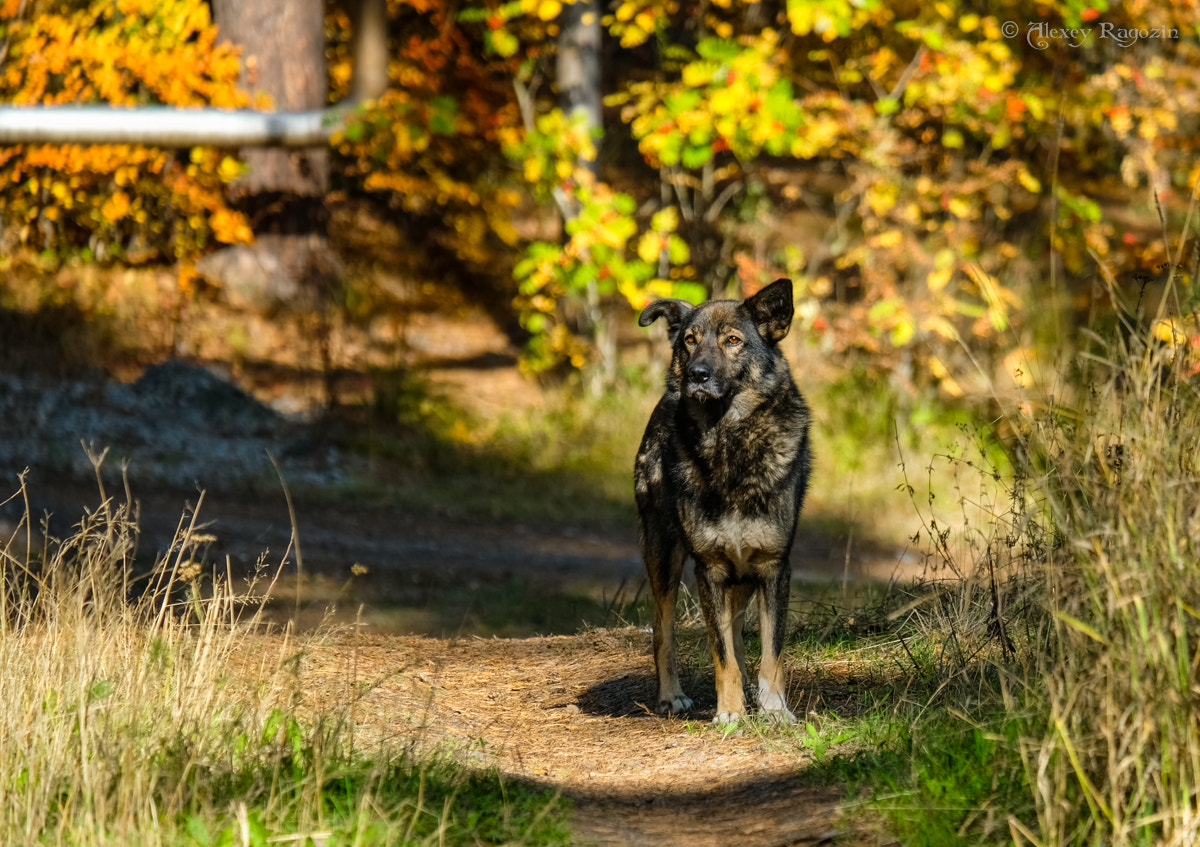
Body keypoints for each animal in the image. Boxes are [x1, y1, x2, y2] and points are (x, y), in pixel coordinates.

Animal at [633, 278, 811, 724]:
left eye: (733, 341)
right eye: (690, 341)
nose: (697, 374)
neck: (729, 441)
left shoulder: (772, 567)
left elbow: (771, 652)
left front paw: (774, 708)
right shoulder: (709, 569)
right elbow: (721, 653)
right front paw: (730, 713)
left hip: (741, 575)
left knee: (738, 632)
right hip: (664, 554)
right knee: (663, 630)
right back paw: (672, 696)